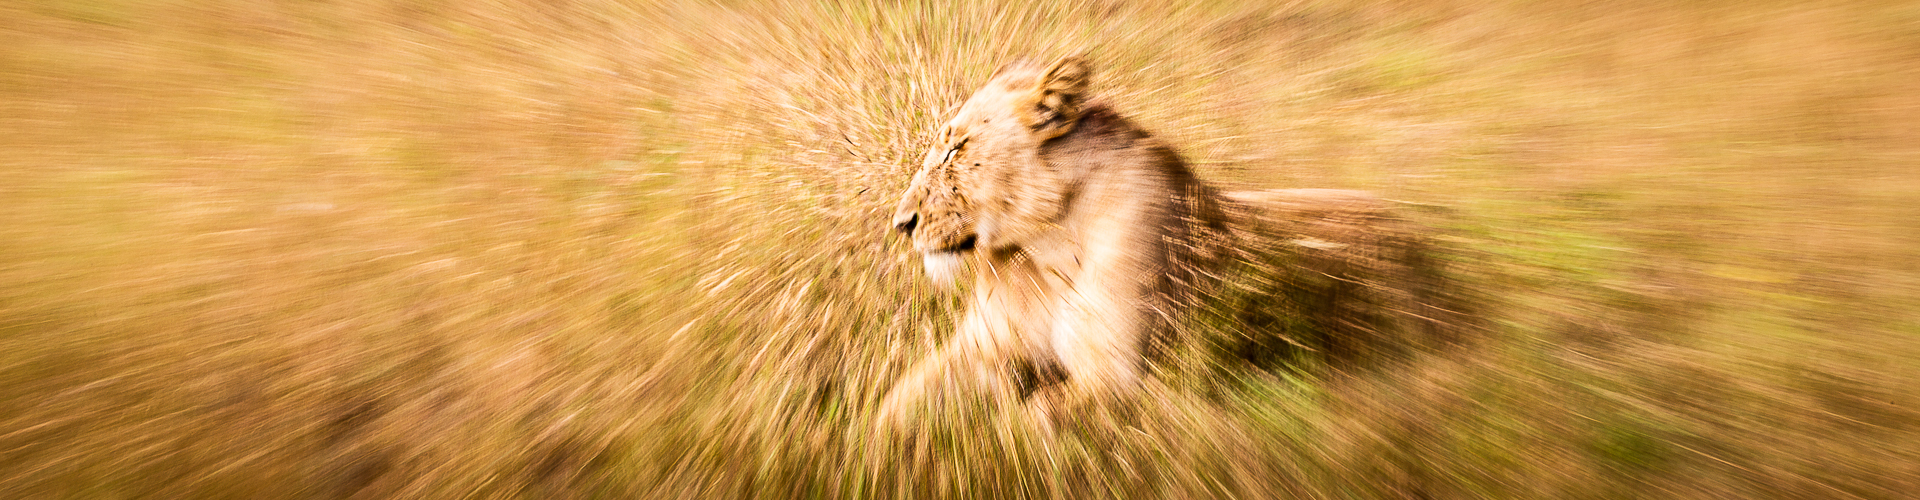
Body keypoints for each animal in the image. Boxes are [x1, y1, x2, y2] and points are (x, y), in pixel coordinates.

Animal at [881, 57, 1449, 426]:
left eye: (955, 148)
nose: (901, 223)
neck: (1040, 249)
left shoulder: (1115, 376)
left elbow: (1027, 420)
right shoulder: (980, 349)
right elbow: (891, 410)